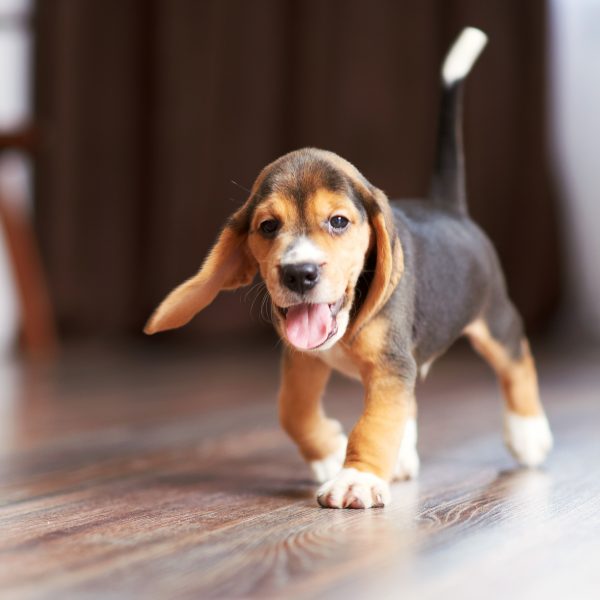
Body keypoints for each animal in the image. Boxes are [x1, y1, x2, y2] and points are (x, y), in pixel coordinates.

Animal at [145, 25, 552, 508]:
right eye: (267, 226)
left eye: (338, 221)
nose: (299, 274)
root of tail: (450, 208)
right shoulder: (304, 360)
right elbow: (293, 410)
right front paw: (329, 453)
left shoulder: (390, 365)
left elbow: (374, 423)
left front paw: (356, 477)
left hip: (494, 319)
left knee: (516, 361)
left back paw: (528, 433)